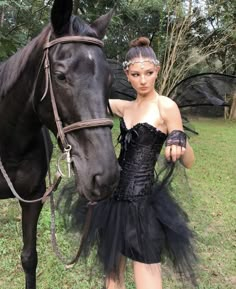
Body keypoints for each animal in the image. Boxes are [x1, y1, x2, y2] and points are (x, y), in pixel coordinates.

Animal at [0, 1, 119, 286]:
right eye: (60, 76)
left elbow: (29, 258)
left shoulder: (33, 199)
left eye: (110, 80)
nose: (105, 177)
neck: (8, 145)